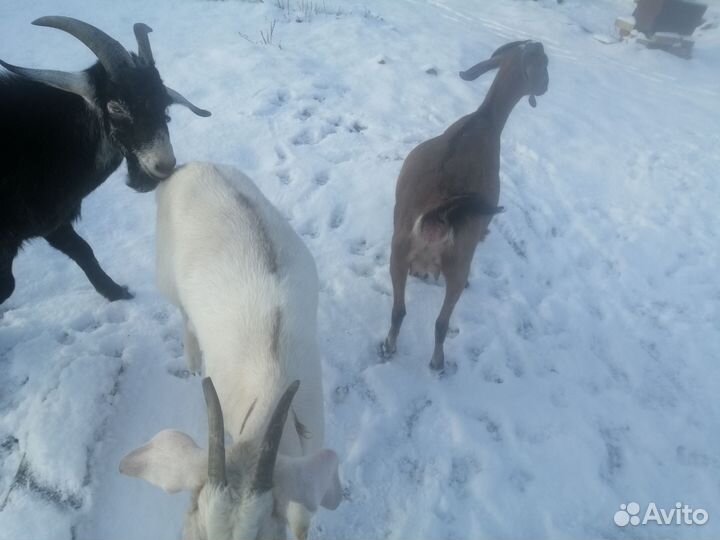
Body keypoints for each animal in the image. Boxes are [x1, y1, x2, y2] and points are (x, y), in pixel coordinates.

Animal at [0, 17, 209, 306]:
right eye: (116, 107)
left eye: (165, 107)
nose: (163, 167)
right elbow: (7, 286)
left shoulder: (53, 222)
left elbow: (82, 250)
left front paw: (116, 292)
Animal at [119, 163, 342, 540]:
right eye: (197, 529)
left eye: (263, 534)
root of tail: (187, 167)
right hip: (168, 278)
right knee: (184, 315)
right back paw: (193, 361)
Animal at [380, 41, 549, 372]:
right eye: (544, 64)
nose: (545, 86)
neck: (484, 120)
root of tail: (439, 214)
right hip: (458, 265)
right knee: (441, 322)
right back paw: (437, 362)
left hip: (398, 251)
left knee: (399, 311)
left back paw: (389, 346)